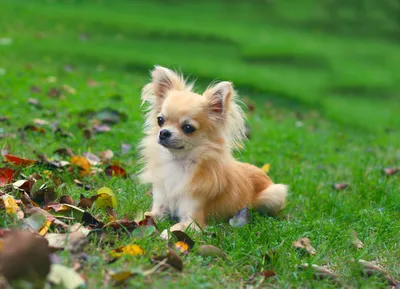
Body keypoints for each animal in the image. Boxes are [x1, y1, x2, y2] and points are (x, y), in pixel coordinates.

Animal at [140, 66, 288, 232]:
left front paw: (166, 234)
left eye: (188, 128)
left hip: (274, 195)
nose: (163, 132)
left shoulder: (193, 220)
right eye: (160, 120)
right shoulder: (158, 207)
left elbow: (175, 229)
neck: (179, 163)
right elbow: (146, 217)